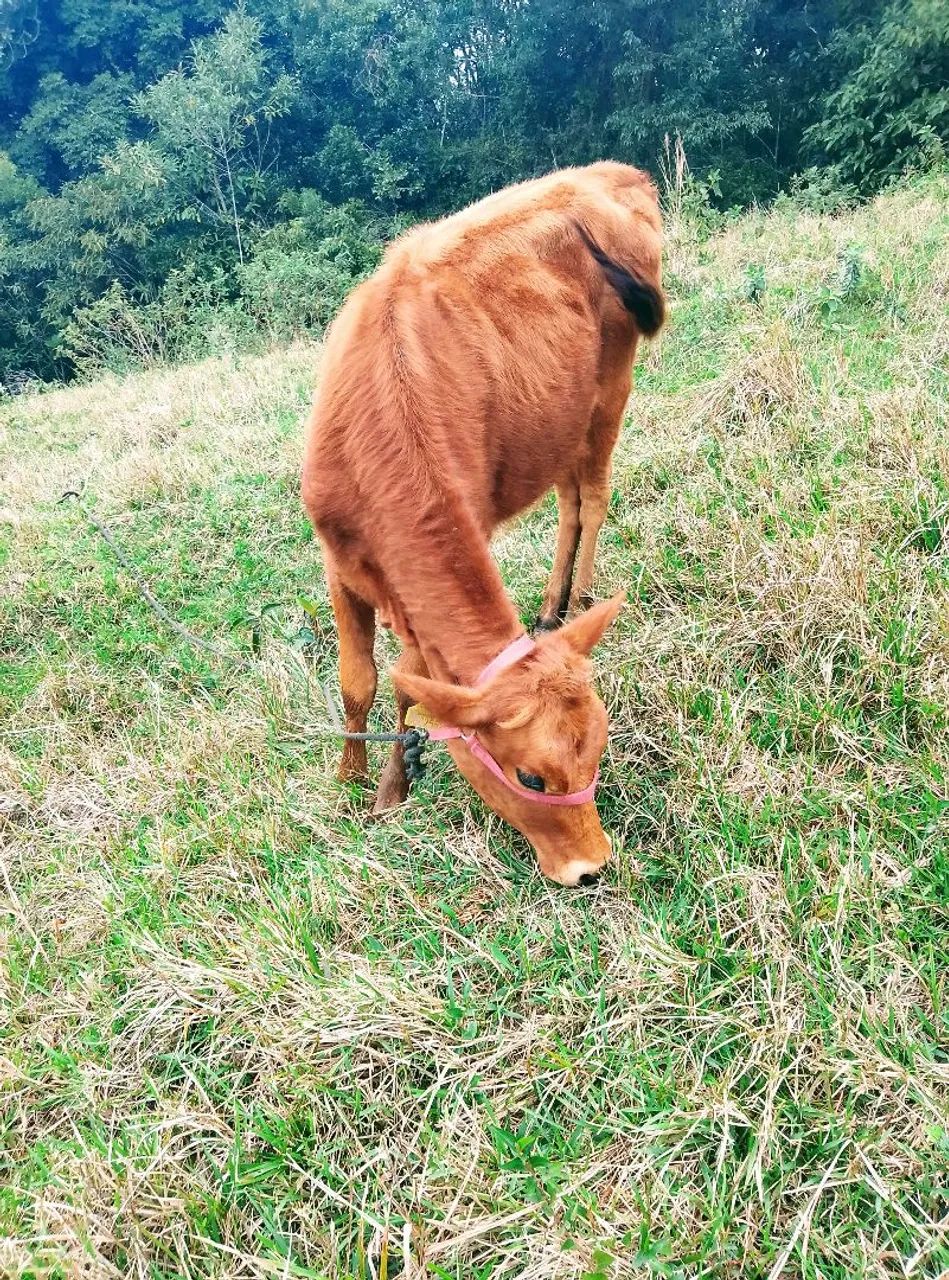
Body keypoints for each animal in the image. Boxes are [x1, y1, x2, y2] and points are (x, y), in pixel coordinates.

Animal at [302, 161, 664, 886]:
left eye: (597, 754)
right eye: (531, 777)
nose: (592, 866)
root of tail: (609, 174)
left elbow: (410, 689)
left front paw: (391, 791)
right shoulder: (338, 560)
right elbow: (357, 681)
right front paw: (350, 779)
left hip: (610, 385)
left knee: (594, 495)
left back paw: (581, 593)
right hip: (558, 417)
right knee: (570, 499)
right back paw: (553, 608)